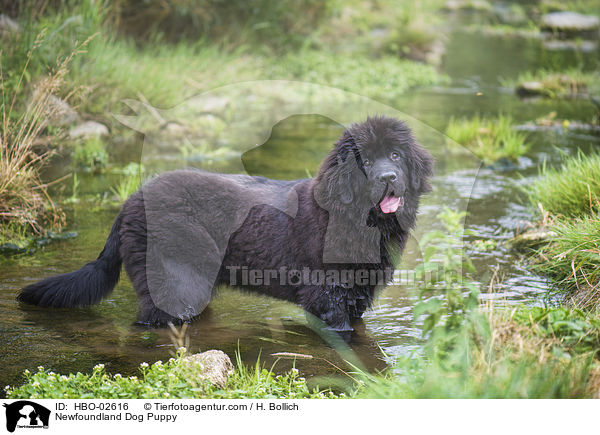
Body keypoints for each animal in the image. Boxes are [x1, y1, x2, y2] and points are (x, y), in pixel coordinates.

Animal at [18, 116, 432, 340]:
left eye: (395, 155)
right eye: (366, 162)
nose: (389, 178)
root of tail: (131, 201)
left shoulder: (357, 296)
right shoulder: (329, 298)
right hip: (176, 282)